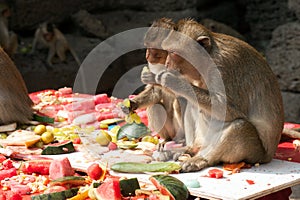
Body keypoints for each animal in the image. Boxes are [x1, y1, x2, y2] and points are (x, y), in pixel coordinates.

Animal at [142, 18, 284, 172]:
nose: (167, 64)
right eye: (167, 52)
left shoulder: (223, 67)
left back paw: (201, 159)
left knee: (239, 127)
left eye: (172, 52)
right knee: (193, 104)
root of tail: (268, 156)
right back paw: (189, 149)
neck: (208, 58)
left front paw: (172, 81)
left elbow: (229, 110)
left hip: (255, 154)